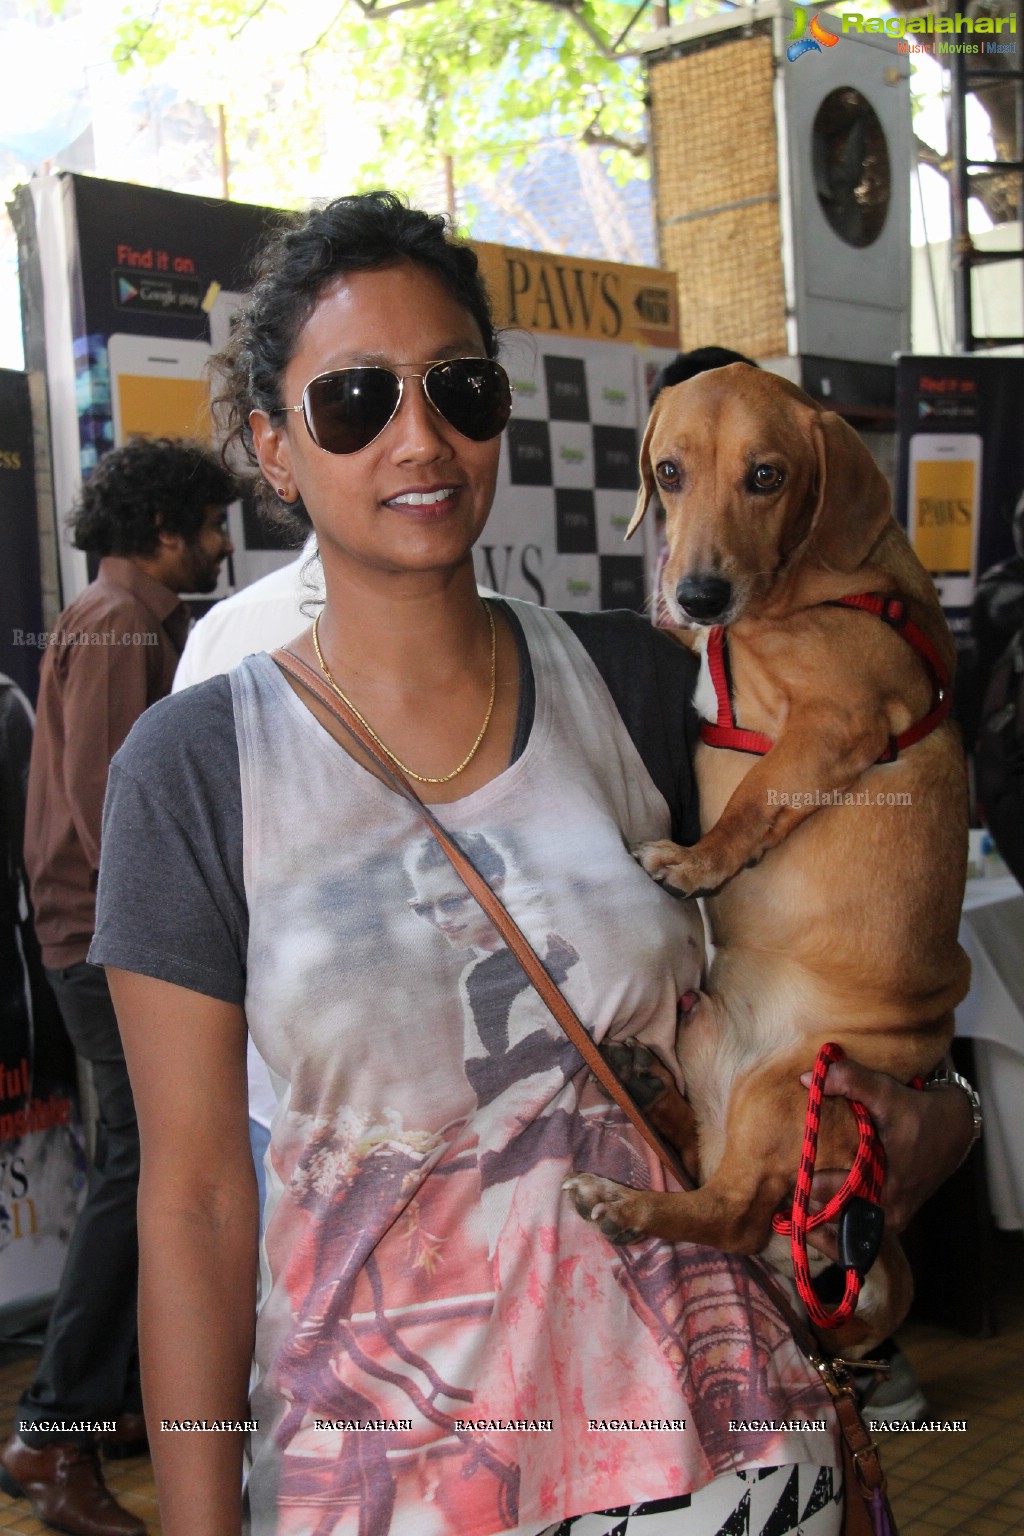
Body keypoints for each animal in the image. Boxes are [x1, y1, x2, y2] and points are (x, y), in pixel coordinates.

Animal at [564, 365, 976, 1351]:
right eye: (668, 472)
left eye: (767, 476)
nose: (700, 593)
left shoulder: (839, 720)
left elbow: (757, 797)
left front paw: (698, 859)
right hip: (711, 1042)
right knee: (704, 1160)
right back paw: (654, 1095)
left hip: (789, 1095)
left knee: (738, 1214)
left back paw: (629, 1207)